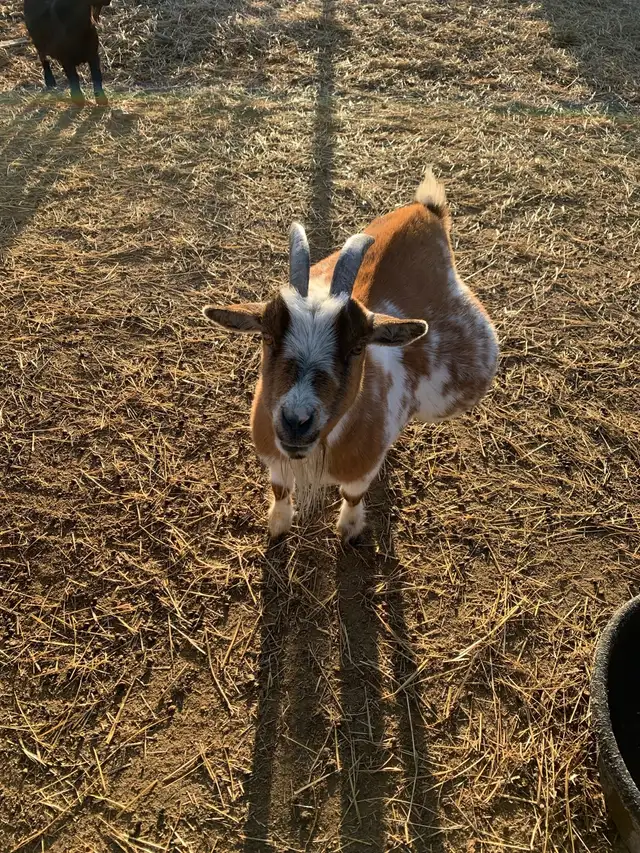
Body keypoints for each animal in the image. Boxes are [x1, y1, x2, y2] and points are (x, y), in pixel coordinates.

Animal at [203, 170, 499, 542]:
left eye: (358, 347)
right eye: (267, 336)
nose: (296, 422)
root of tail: (425, 209)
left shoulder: (360, 469)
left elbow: (352, 494)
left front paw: (350, 528)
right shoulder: (275, 458)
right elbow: (280, 490)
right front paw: (279, 524)